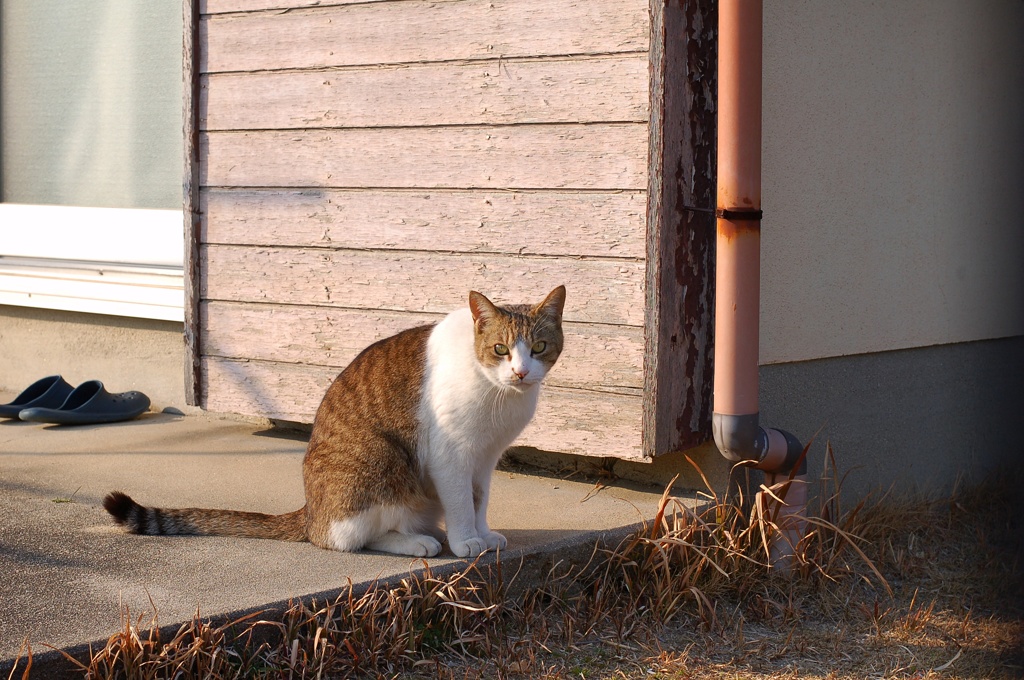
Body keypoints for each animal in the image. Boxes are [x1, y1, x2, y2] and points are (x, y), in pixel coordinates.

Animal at [104, 286, 569, 557]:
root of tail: (311, 513)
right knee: (347, 537)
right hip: (382, 457)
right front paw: (465, 541)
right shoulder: (451, 455)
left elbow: (479, 500)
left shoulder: (485, 457)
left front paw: (483, 533)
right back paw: (416, 541)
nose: (521, 372)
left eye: (540, 347)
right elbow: (459, 503)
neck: (498, 393)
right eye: (500, 349)